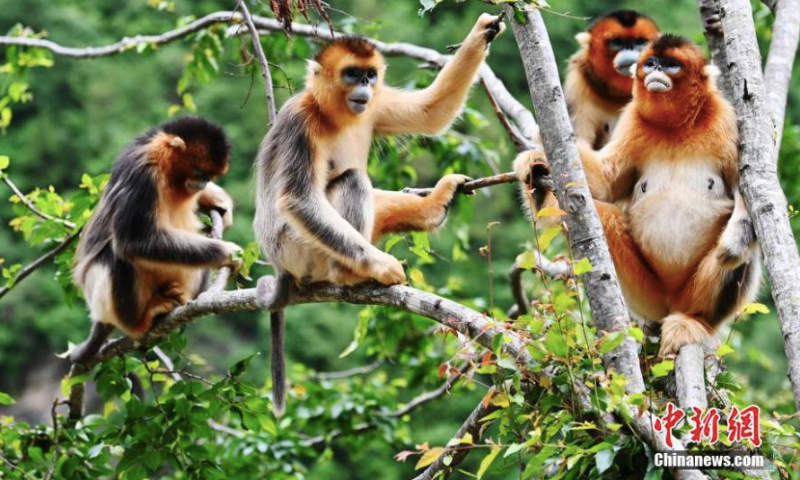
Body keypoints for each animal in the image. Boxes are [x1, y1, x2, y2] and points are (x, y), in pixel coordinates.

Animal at [255, 13, 506, 414]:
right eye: (351, 73)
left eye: (370, 75)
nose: (364, 86)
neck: (334, 115)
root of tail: (280, 266)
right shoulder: (299, 122)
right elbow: (298, 200)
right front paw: (382, 267)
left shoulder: (375, 106)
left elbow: (430, 112)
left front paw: (484, 30)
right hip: (298, 251)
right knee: (353, 181)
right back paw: (350, 274)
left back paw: (432, 207)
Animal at [516, 34, 760, 356]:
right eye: (651, 62)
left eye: (670, 64)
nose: (655, 70)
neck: (676, 127)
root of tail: (670, 300)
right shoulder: (633, 121)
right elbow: (605, 183)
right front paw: (535, 164)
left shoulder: (726, 121)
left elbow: (748, 190)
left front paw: (736, 241)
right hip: (647, 294)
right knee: (600, 214)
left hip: (692, 293)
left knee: (741, 258)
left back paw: (693, 322)